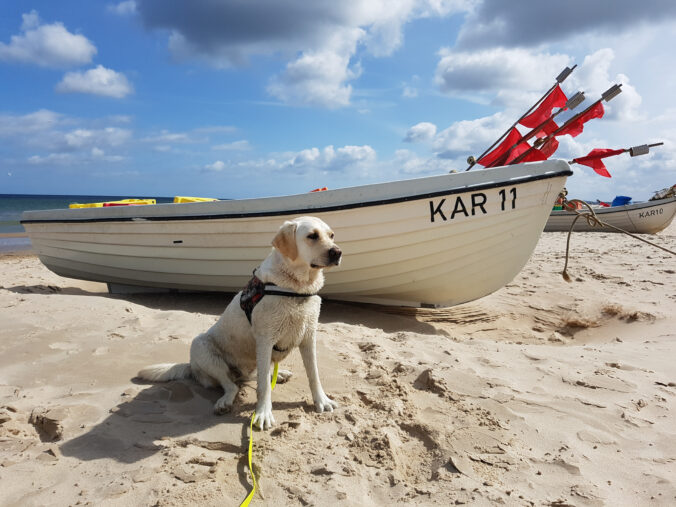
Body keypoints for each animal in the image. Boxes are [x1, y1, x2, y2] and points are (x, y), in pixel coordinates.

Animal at [137, 216, 340, 430]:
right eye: (312, 236)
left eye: (331, 235)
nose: (337, 252)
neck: (296, 288)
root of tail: (191, 366)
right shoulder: (265, 341)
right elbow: (264, 387)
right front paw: (263, 413)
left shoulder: (308, 337)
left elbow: (314, 375)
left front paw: (321, 401)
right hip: (202, 347)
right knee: (232, 385)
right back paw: (225, 402)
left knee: (253, 375)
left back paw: (279, 374)